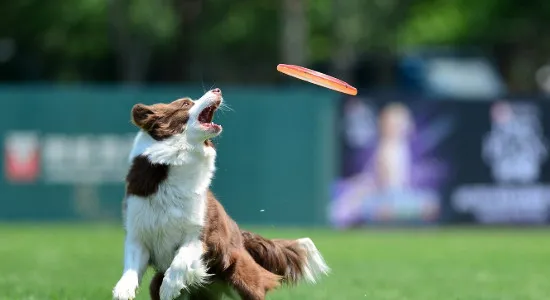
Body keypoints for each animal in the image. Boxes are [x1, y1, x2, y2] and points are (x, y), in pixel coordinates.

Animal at [111, 89, 328, 300]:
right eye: (185, 103)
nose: (217, 89)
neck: (177, 163)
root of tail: (241, 237)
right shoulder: (139, 231)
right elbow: (131, 264)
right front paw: (123, 290)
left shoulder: (200, 233)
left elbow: (181, 260)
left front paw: (170, 287)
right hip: (161, 284)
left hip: (241, 276)